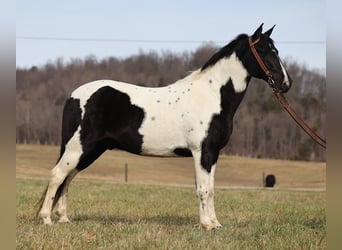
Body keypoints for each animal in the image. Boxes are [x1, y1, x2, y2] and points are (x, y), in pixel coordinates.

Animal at [37, 24, 292, 229]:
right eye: (266, 51)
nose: (286, 83)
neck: (211, 95)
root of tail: (73, 96)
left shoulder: (213, 153)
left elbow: (211, 188)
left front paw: (215, 223)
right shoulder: (202, 152)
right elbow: (203, 189)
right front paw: (207, 225)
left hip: (90, 150)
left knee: (68, 177)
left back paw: (63, 218)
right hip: (78, 147)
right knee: (58, 175)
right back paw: (46, 219)